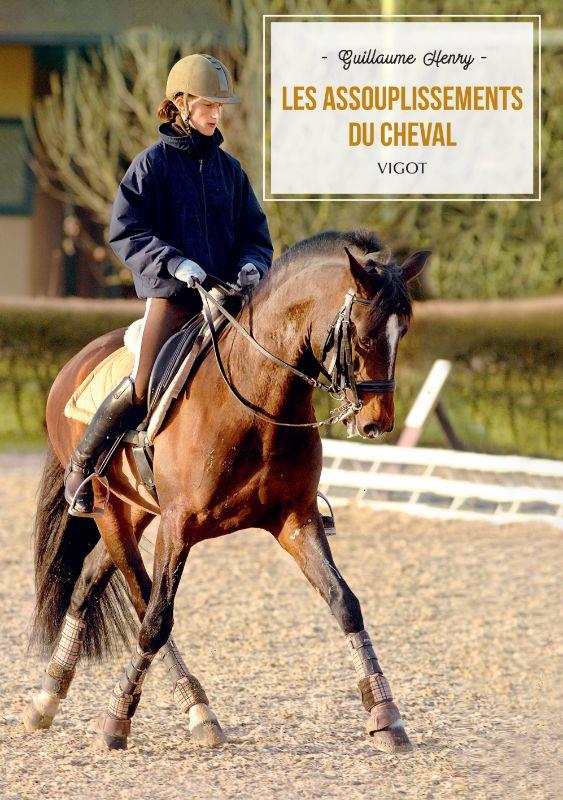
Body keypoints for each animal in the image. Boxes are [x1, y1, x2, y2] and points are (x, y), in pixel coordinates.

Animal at [23, 229, 429, 753]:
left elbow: (345, 603)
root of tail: (77, 361)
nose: (377, 423)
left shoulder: (295, 519)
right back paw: (189, 708)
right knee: (142, 600)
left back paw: (50, 695)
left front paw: (386, 715)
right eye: (361, 334)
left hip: (137, 510)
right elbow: (156, 621)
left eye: (404, 332)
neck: (258, 401)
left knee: (91, 578)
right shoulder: (179, 526)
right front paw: (116, 720)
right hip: (109, 509)